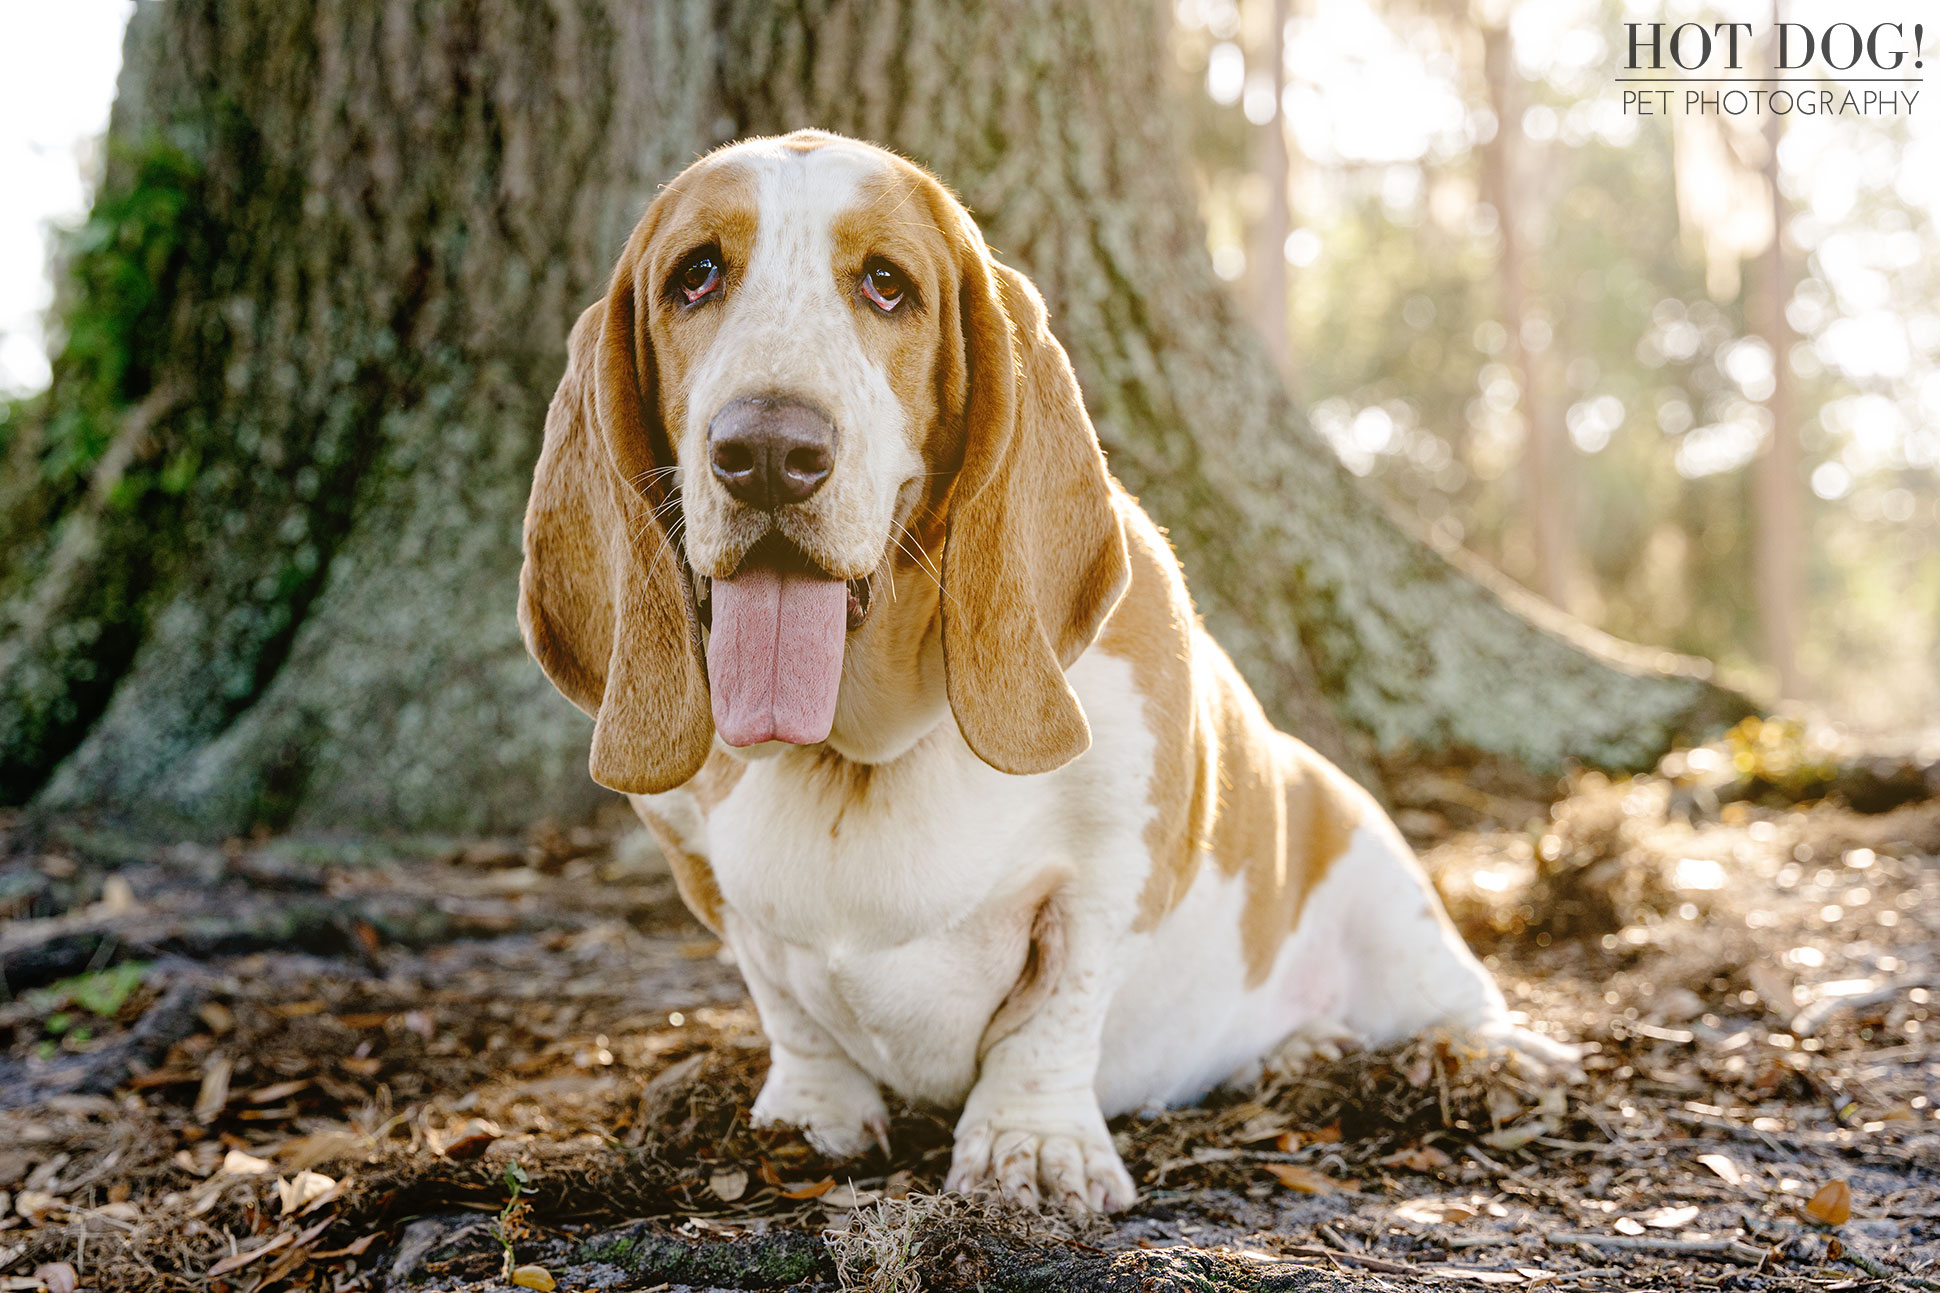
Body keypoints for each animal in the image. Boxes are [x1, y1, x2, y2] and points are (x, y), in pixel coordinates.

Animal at [516, 128, 1575, 1211]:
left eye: (887, 285)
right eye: (694, 276)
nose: (768, 449)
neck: (860, 749)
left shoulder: (1114, 865)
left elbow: (1054, 1012)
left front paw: (1028, 1147)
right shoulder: (705, 874)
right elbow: (787, 1007)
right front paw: (809, 1116)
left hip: (1380, 878)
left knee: (1450, 994)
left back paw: (1492, 1055)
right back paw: (1298, 1052)